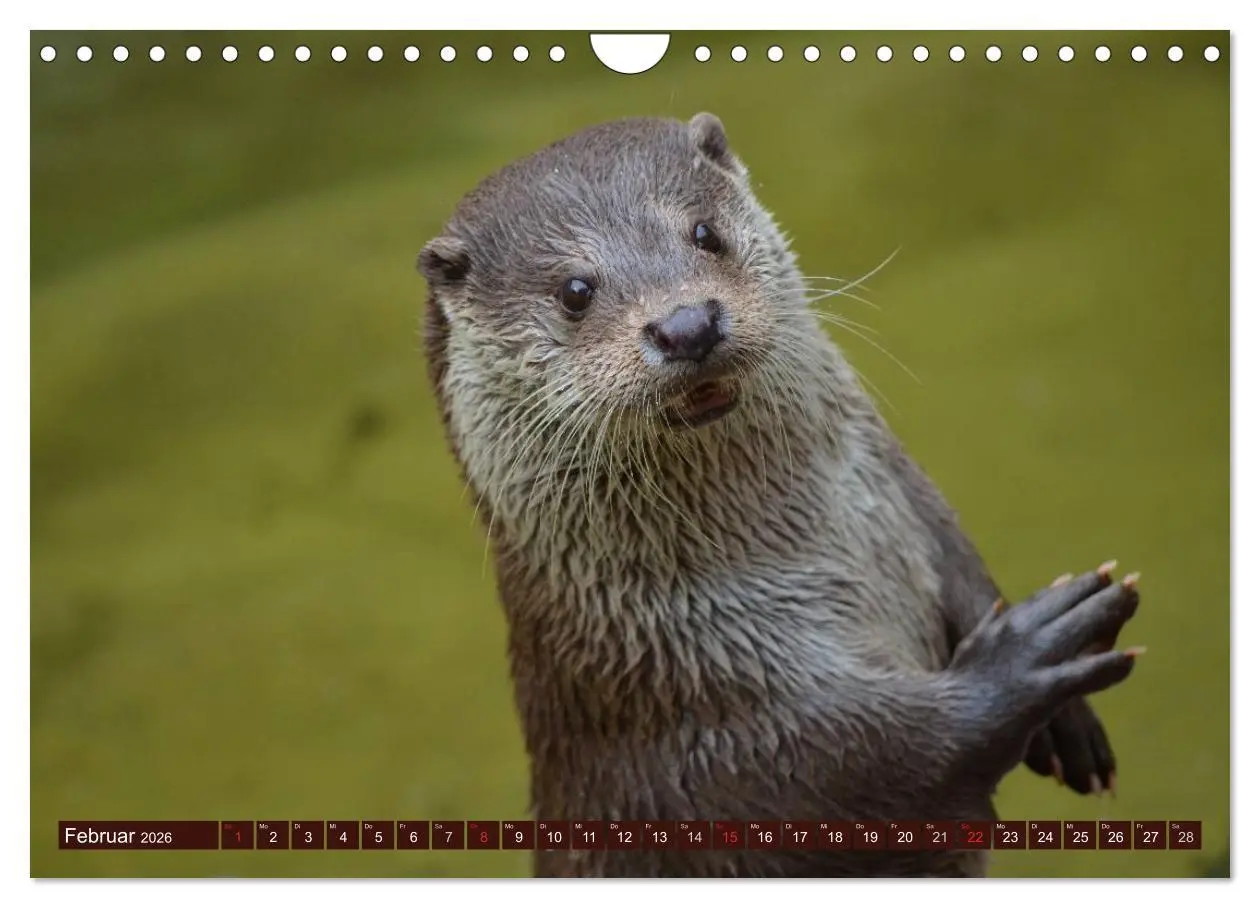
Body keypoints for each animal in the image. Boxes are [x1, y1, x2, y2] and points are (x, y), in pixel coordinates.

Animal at [417, 113, 1142, 877]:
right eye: (575, 290)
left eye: (705, 233)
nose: (686, 324)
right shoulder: (704, 717)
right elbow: (867, 768)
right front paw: (1027, 659)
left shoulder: (908, 499)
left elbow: (963, 564)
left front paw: (1068, 723)